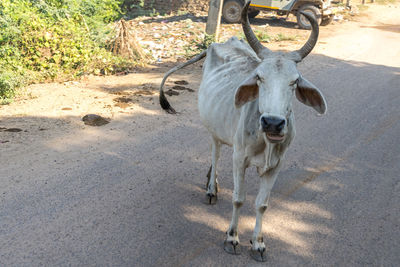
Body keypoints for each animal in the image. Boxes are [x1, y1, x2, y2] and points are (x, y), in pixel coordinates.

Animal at [158, 1, 326, 262]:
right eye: (259, 78)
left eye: (294, 81)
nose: (273, 123)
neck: (265, 141)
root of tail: (221, 42)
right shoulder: (239, 159)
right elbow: (238, 199)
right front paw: (231, 238)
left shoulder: (276, 165)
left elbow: (262, 204)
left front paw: (258, 243)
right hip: (213, 130)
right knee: (216, 154)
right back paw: (211, 188)